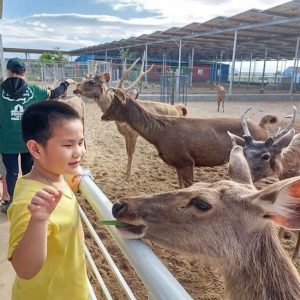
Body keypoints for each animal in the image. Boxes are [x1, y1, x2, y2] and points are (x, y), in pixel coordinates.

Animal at [102, 87, 280, 188]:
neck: (159, 136)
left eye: (114, 104)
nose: (103, 116)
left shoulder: (187, 161)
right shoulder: (178, 164)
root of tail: (263, 127)